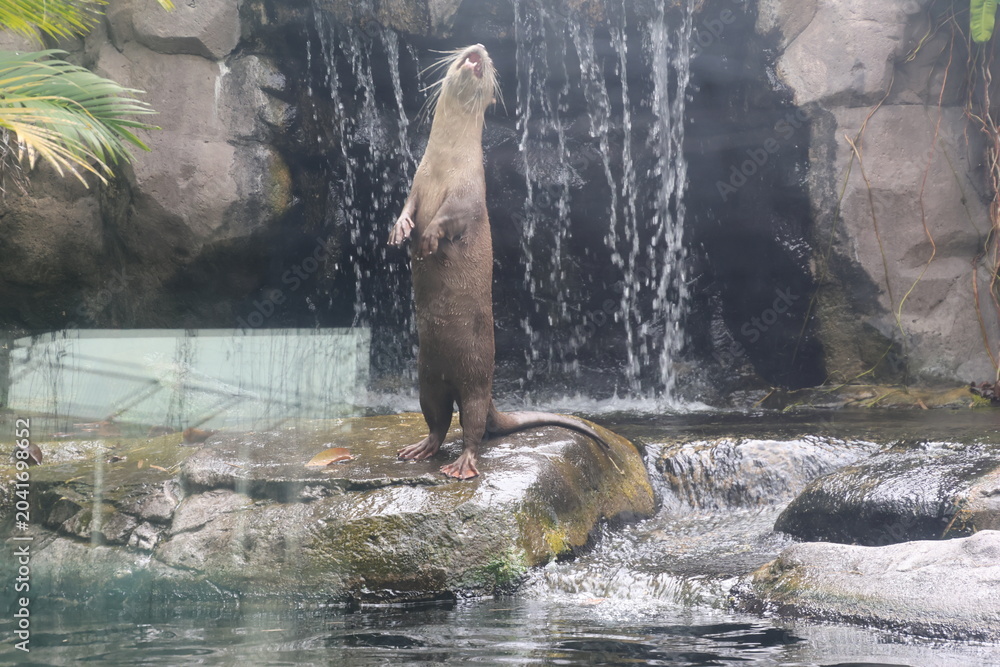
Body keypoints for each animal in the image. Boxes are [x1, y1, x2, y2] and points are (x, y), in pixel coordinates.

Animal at [388, 44, 615, 479]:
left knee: (473, 426)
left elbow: (450, 217)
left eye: (487, 55)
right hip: (426, 381)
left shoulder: (468, 193)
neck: (443, 166)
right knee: (437, 421)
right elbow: (407, 207)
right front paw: (400, 230)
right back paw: (420, 449)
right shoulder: (416, 184)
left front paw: (428, 239)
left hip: (476, 378)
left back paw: (462, 465)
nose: (479, 48)